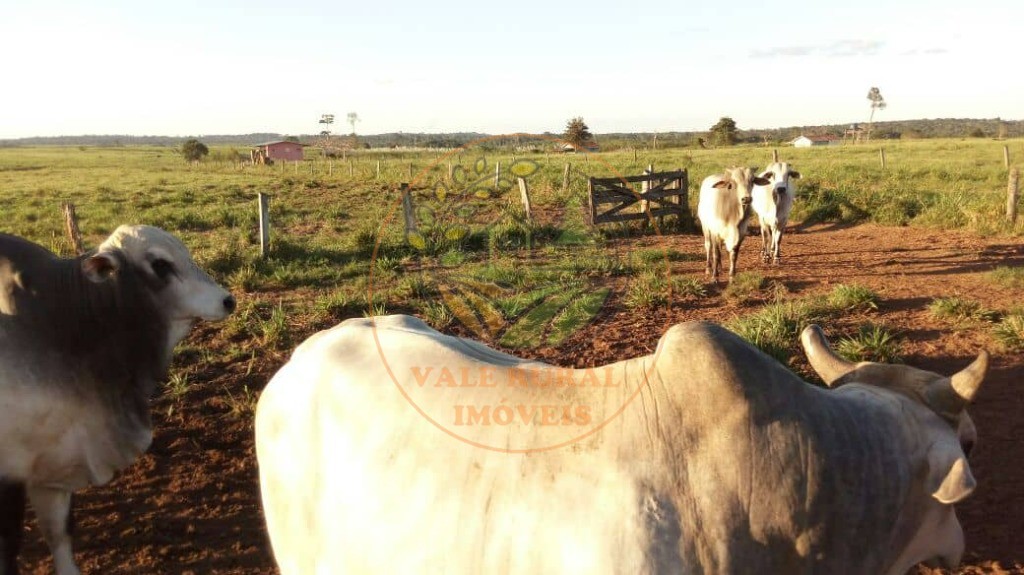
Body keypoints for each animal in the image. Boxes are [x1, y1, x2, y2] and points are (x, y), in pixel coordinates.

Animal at [0, 224, 234, 572]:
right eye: (160, 264)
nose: (227, 300)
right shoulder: (11, 473)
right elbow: (9, 545)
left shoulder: (55, 460)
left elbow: (60, 533)